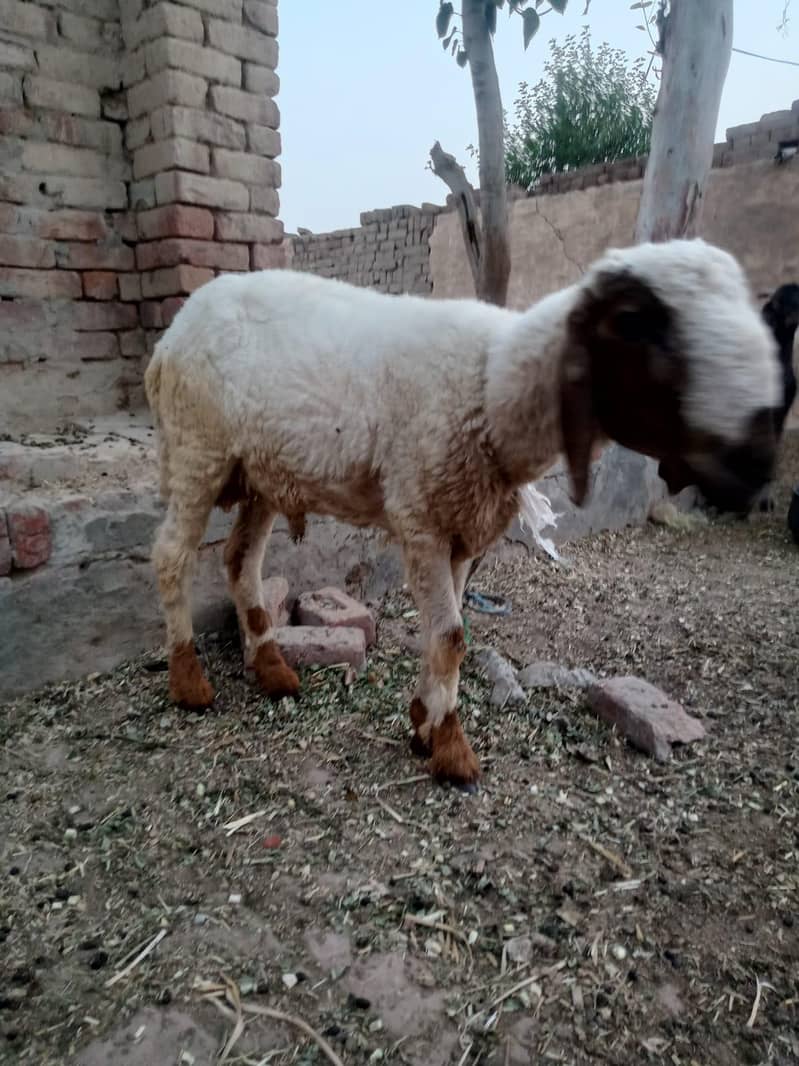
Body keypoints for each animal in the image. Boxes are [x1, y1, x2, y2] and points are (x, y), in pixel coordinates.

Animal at [145, 237, 780, 791]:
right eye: (634, 322)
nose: (758, 454)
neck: (490, 386)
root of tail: (174, 331)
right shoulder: (421, 518)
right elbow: (450, 638)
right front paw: (452, 750)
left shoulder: (462, 528)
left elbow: (445, 636)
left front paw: (424, 722)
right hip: (198, 448)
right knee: (172, 557)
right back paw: (189, 681)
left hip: (258, 472)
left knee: (239, 561)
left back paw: (272, 668)